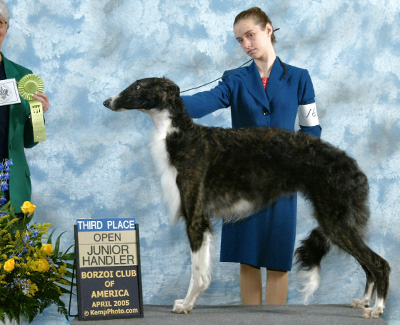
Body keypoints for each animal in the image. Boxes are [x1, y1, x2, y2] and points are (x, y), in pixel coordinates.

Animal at [103, 76, 390, 316]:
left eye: (138, 86)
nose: (107, 102)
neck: (183, 137)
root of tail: (353, 168)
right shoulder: (203, 219)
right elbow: (203, 270)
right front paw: (190, 301)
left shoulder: (195, 216)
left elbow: (197, 271)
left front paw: (186, 304)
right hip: (340, 223)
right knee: (368, 265)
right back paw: (364, 301)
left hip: (336, 221)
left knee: (379, 264)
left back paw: (377, 308)